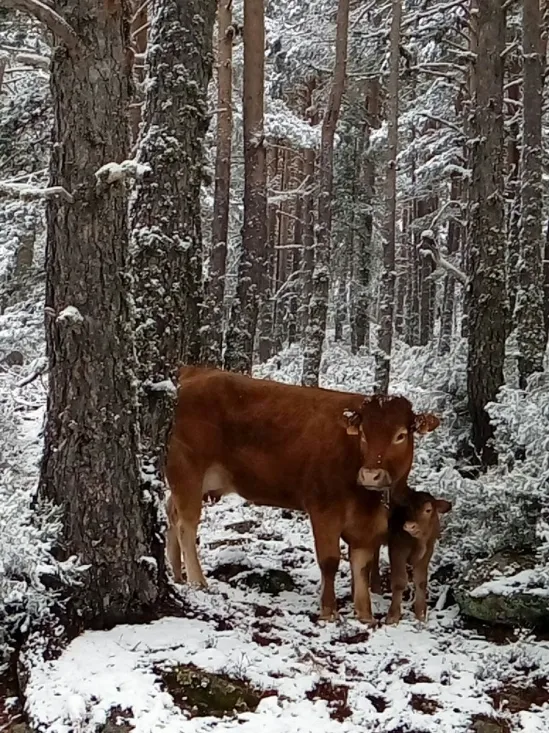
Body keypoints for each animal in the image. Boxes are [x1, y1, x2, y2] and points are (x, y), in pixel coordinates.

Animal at [165, 366, 440, 624]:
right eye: (363, 434)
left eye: (400, 435)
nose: (371, 475)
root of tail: (192, 372)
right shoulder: (324, 511)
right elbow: (330, 561)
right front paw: (329, 611)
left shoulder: (367, 526)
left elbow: (361, 566)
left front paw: (365, 615)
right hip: (187, 468)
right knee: (186, 524)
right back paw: (197, 580)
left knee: (171, 511)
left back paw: (177, 572)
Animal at [384, 489, 452, 625]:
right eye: (407, 508)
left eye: (428, 510)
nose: (410, 526)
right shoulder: (397, 550)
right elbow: (399, 581)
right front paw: (393, 616)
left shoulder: (428, 551)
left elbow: (421, 581)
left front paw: (421, 615)